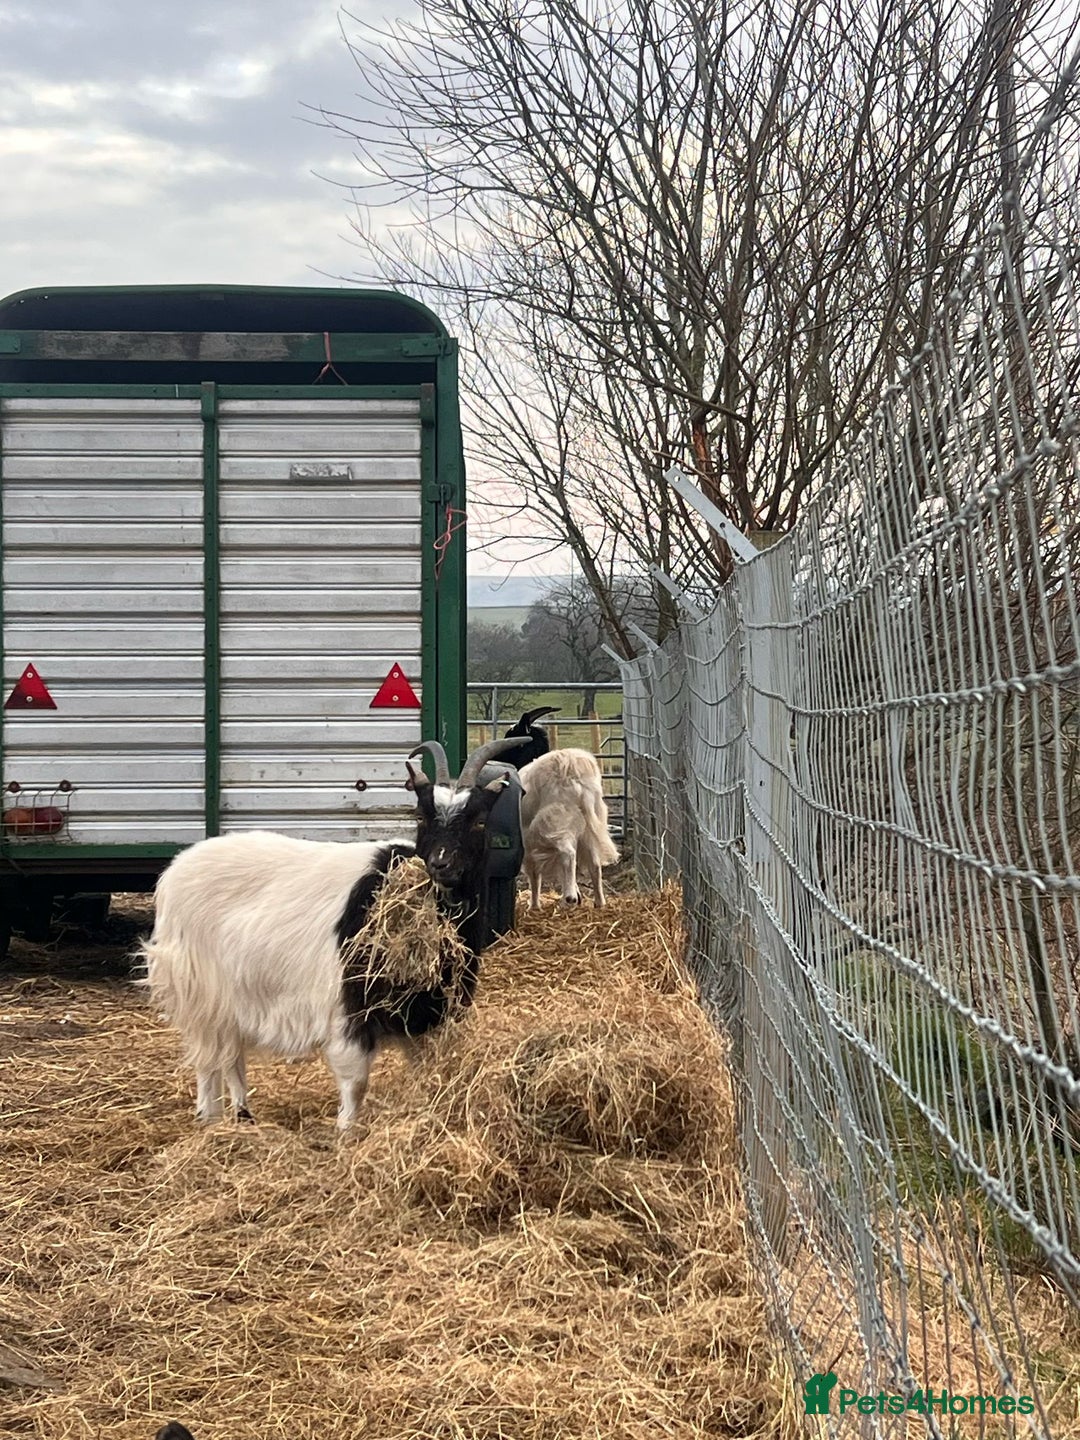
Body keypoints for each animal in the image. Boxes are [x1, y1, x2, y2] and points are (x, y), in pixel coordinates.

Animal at [140, 738, 522, 1130]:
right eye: (420, 816)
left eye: (479, 821)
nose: (441, 865)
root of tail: (174, 871)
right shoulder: (349, 1010)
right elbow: (356, 1082)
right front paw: (347, 1133)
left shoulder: (427, 1016)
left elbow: (426, 1075)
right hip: (199, 989)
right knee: (208, 1056)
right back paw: (209, 1117)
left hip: (235, 995)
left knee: (231, 1055)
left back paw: (242, 1116)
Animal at [518, 748, 620, 909]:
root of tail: (571, 764)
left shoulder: (529, 845)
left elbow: (534, 876)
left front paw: (534, 906)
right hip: (589, 825)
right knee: (594, 864)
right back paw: (599, 902)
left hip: (555, 822)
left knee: (568, 853)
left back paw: (570, 898)